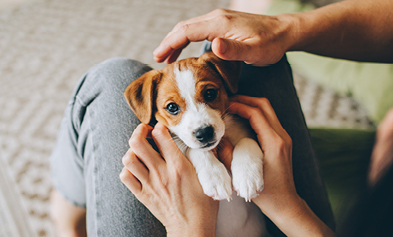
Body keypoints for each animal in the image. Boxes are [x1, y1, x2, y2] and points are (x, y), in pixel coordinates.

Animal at [124, 52, 268, 237]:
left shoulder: (247, 131)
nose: (204, 133)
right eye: (172, 107)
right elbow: (194, 150)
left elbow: (247, 140)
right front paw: (214, 177)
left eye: (210, 93)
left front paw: (247, 177)